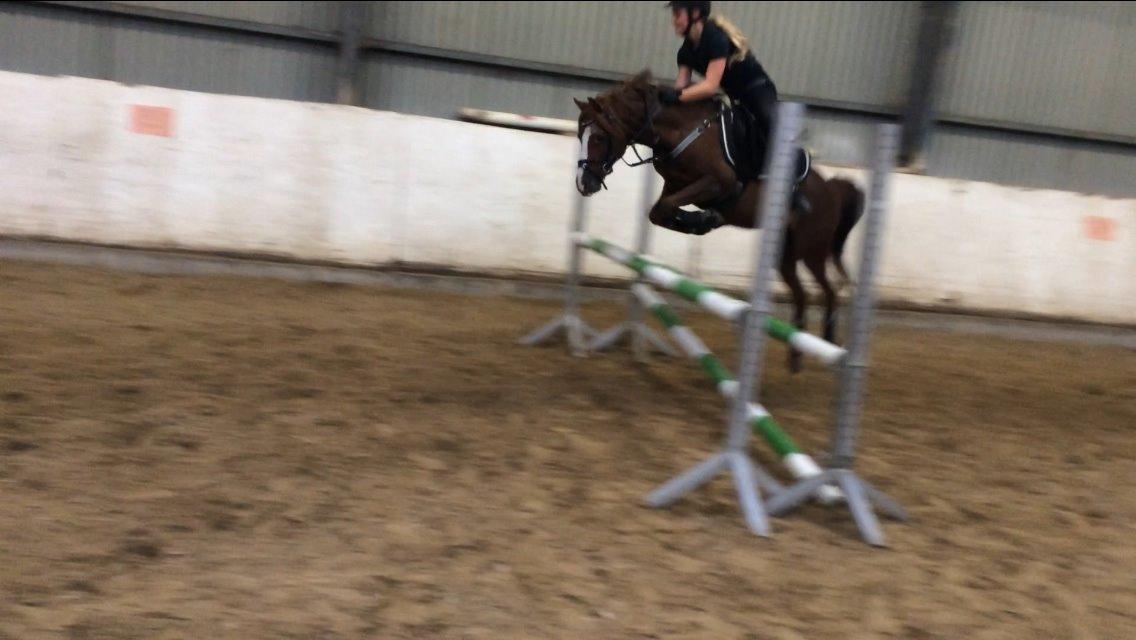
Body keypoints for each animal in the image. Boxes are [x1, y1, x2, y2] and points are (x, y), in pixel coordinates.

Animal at [573, 70, 865, 373]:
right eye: (580, 135)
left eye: (598, 137)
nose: (584, 184)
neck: (680, 131)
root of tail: (832, 187)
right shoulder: (674, 185)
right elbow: (658, 212)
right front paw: (700, 221)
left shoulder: (717, 182)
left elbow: (667, 207)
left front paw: (706, 219)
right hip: (785, 253)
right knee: (802, 294)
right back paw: (796, 356)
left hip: (813, 250)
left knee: (829, 291)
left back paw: (830, 344)